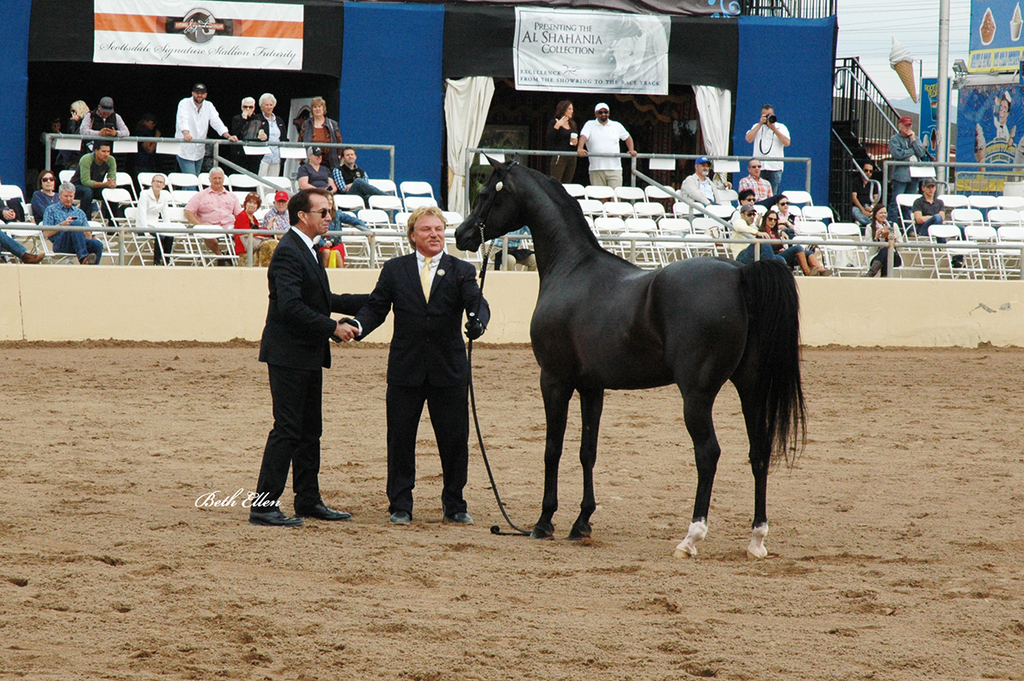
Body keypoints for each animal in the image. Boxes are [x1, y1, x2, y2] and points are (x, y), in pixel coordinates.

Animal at [455, 159, 806, 558]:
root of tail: (740, 274)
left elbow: (552, 449)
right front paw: (582, 522)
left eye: (485, 194)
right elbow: (587, 451)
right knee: (759, 451)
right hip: (750, 387)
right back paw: (757, 539)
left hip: (697, 395)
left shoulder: (554, 380)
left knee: (708, 454)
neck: (572, 270)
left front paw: (544, 522)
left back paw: (691, 538)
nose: (461, 234)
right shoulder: (592, 387)